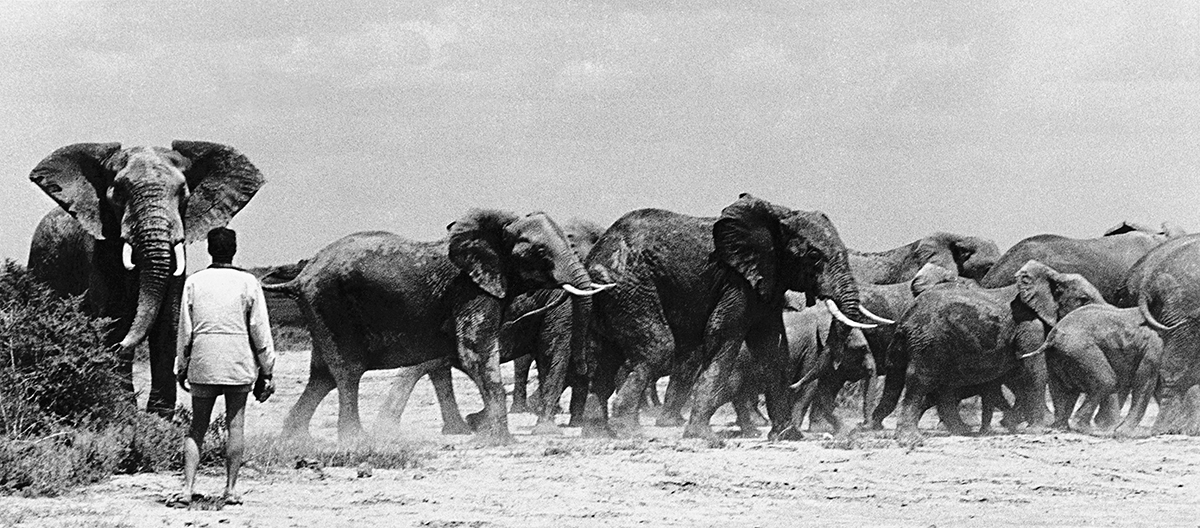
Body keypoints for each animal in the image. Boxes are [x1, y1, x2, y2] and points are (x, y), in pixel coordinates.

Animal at [27, 140, 267, 417]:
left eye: (183, 193)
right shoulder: (98, 253)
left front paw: (159, 415)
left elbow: (168, 324)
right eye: (118, 193)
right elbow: (116, 320)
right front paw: (125, 409)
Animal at [266, 208, 614, 441]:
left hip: (321, 308)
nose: (584, 367)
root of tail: (301, 276)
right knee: (347, 370)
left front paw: (484, 428)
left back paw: (297, 439)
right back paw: (356, 439)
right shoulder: (471, 290)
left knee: (322, 375)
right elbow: (477, 353)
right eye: (540, 251)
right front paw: (503, 439)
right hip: (330, 301)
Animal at [580, 192, 883, 439]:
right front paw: (704, 438)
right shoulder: (736, 281)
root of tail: (596, 256)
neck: (778, 216)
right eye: (814, 256)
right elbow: (724, 333)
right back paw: (629, 432)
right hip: (630, 286)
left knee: (602, 357)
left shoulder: (765, 283)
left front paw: (787, 436)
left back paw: (598, 433)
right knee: (658, 349)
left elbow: (772, 347)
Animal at [1022, 303, 1161, 434]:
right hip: (1081, 350)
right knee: (1106, 381)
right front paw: (1123, 432)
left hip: (1058, 355)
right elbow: (1145, 381)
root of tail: (1052, 337)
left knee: (1063, 388)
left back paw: (1060, 428)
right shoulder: (1153, 344)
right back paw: (1084, 429)